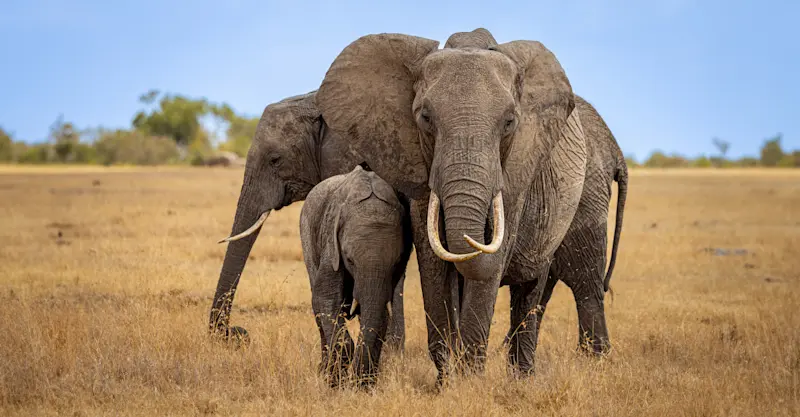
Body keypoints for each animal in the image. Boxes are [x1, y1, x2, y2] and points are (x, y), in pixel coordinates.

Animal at [300, 165, 413, 387]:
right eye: (349, 259)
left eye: (396, 262)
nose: (357, 383)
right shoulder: (331, 243)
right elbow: (326, 298)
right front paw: (338, 383)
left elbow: (379, 313)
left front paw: (364, 385)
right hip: (307, 232)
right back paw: (325, 372)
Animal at [314, 29, 628, 380]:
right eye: (425, 118)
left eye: (510, 122)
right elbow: (433, 263)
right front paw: (446, 379)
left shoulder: (517, 171)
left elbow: (487, 266)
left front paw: (469, 380)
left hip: (588, 191)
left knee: (576, 280)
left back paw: (574, 367)